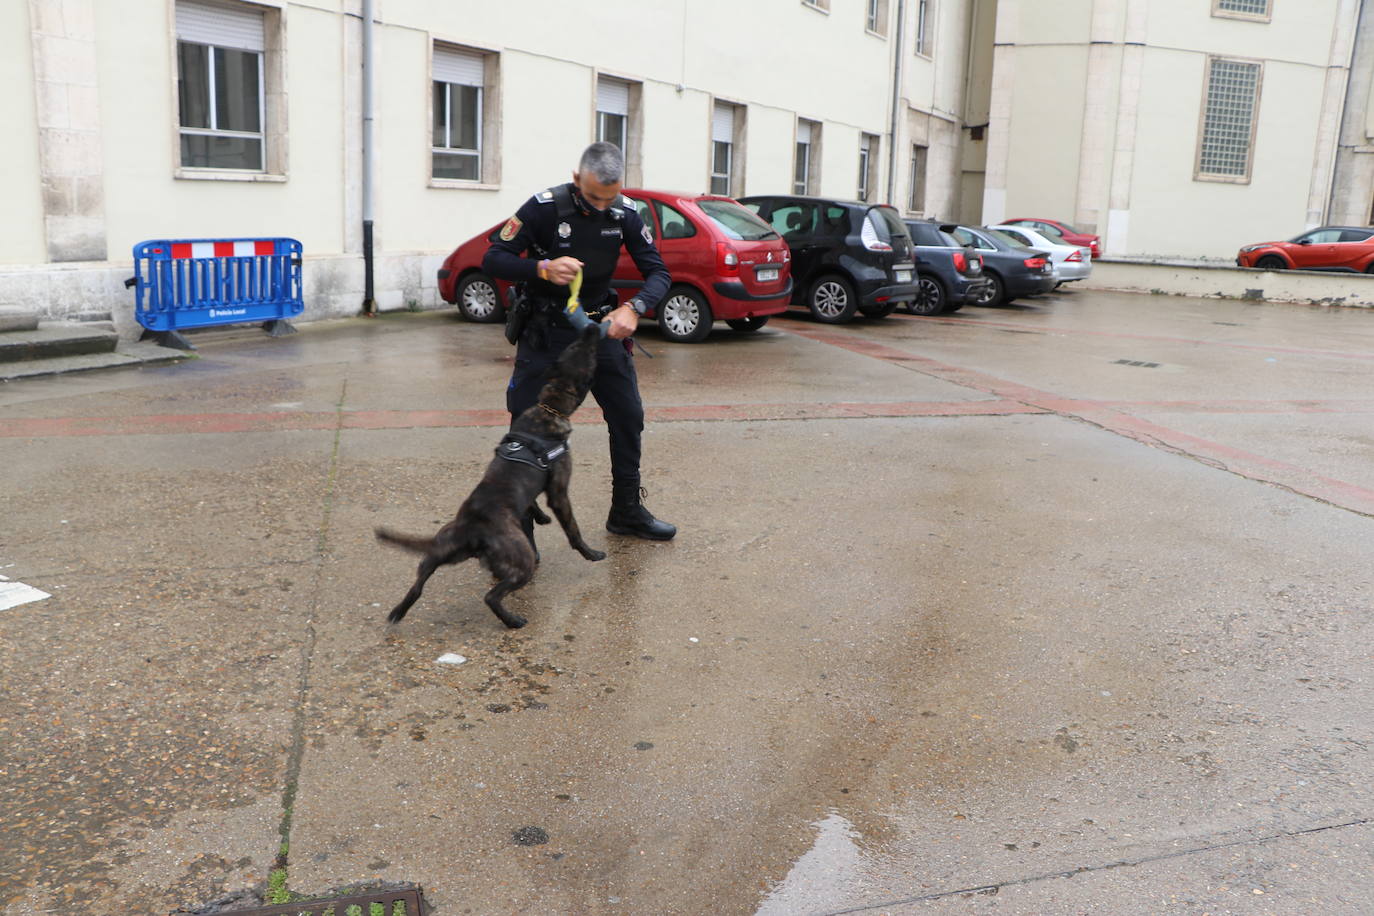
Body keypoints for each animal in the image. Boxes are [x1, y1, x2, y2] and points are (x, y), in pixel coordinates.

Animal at [381, 324, 607, 631]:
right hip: (521, 560)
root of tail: (470, 530)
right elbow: (573, 529)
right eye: (587, 353)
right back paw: (512, 620)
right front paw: (590, 553)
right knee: (492, 596)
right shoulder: (559, 492)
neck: (548, 407)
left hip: (437, 554)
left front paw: (540, 517)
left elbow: (531, 502)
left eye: (573, 347)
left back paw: (398, 611)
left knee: (418, 586)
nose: (592, 326)